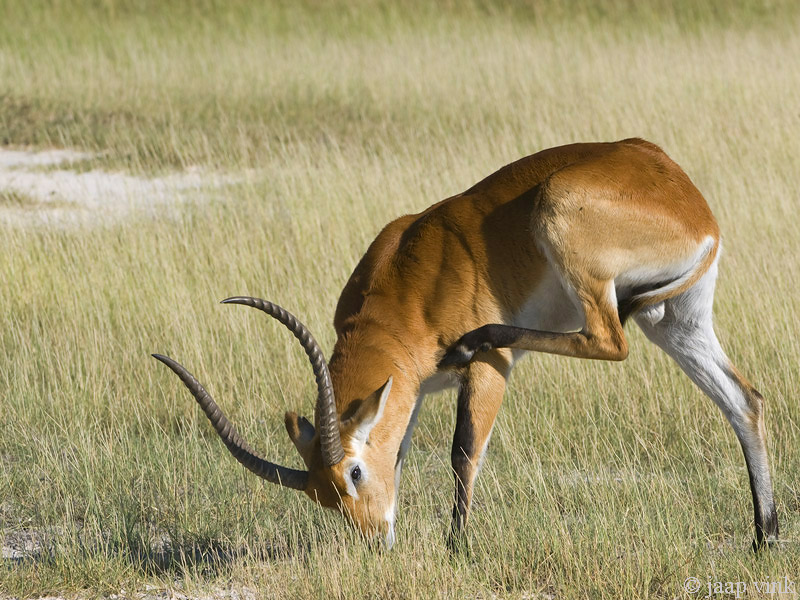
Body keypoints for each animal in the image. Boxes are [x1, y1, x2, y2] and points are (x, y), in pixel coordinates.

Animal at [153, 138, 780, 552]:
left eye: (352, 472)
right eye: (316, 494)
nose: (373, 539)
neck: (409, 283)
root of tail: (692, 203)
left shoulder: (488, 374)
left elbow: (463, 452)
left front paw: (457, 548)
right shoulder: (412, 391)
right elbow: (401, 452)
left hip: (581, 258)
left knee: (610, 341)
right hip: (674, 322)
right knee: (744, 400)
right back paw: (765, 536)